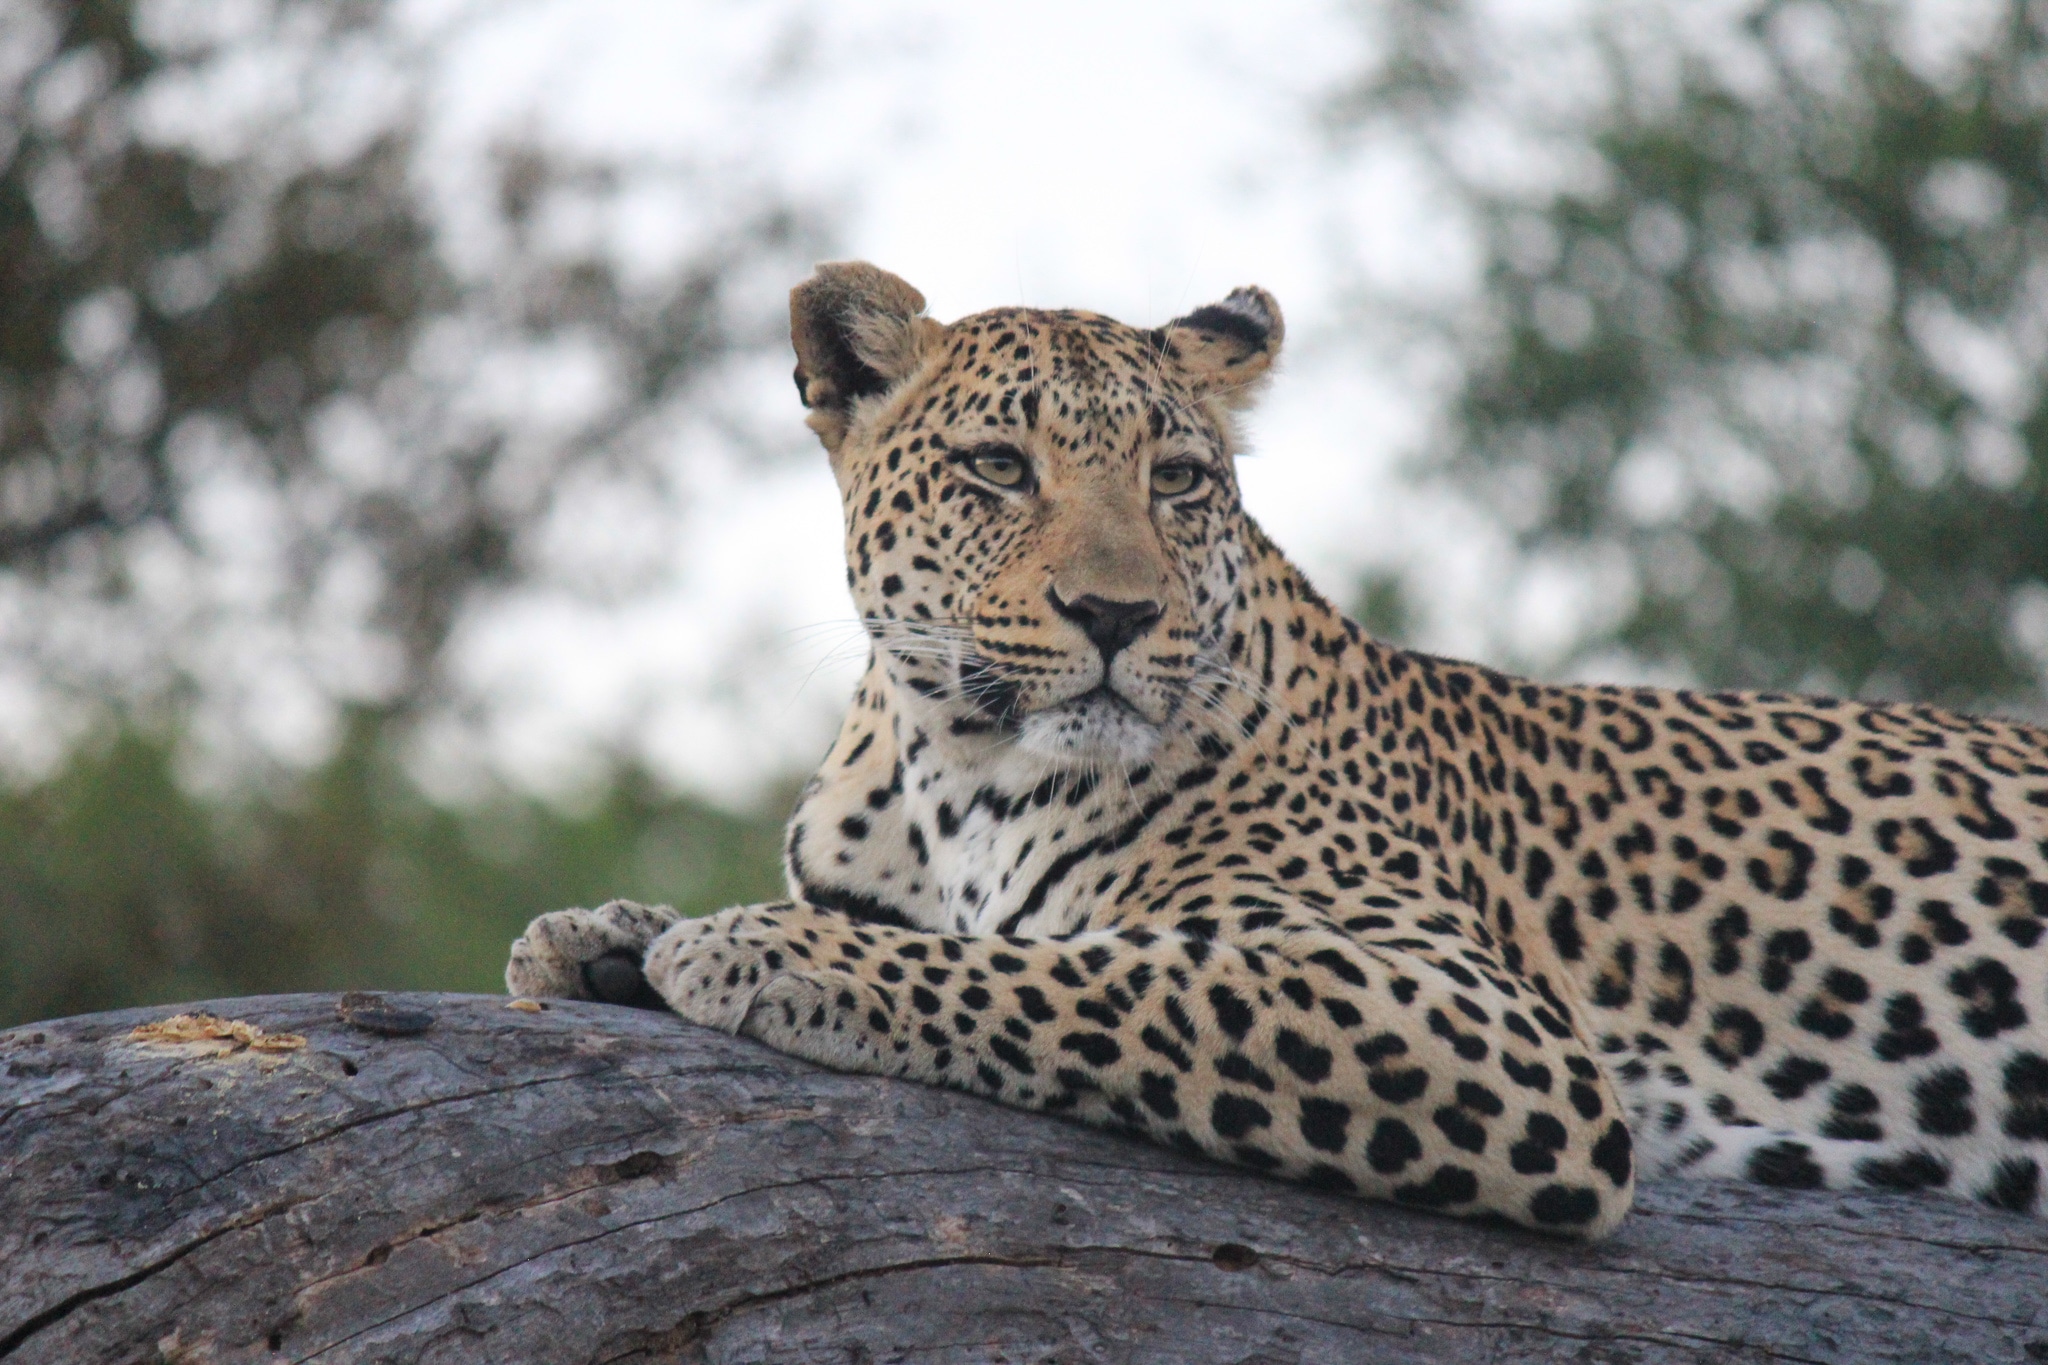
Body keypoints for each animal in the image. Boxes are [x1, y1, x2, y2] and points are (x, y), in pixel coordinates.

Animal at [508, 261, 2048, 1238]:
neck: (955, 770)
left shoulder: (1481, 1021)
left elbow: (1101, 975)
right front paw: (600, 933)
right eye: (998, 469)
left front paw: (763, 951)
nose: (1117, 614)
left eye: (1179, 480)